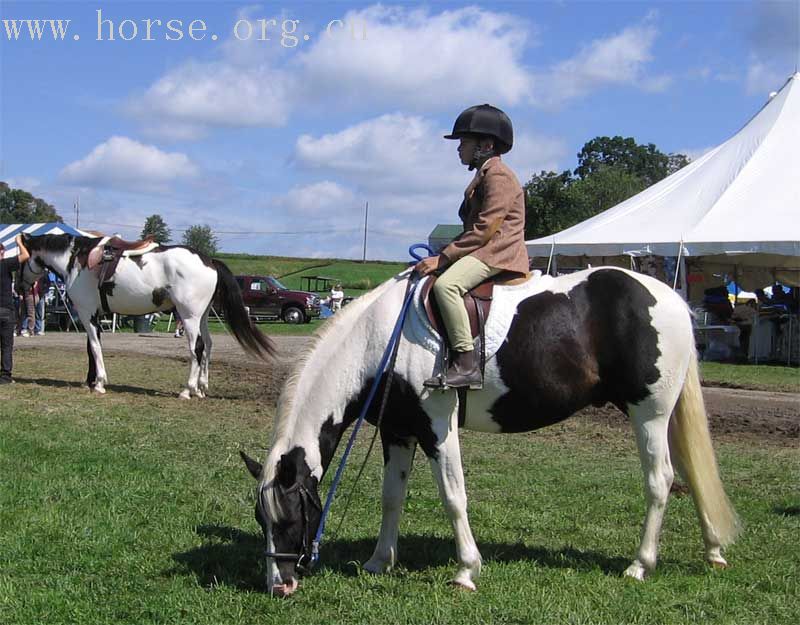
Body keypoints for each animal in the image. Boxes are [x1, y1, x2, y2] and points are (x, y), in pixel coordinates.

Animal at [18, 232, 276, 398]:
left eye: (22, 257)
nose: (21, 286)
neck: (77, 260)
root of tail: (209, 260)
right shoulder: (93, 314)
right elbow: (91, 348)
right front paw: (90, 381)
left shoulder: (86, 313)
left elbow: (95, 347)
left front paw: (99, 383)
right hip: (201, 316)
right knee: (209, 346)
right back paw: (201, 387)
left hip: (189, 317)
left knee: (197, 347)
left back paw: (188, 390)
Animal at [241, 266, 740, 596]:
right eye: (261, 521)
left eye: (287, 518)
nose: (278, 585)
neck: (380, 341)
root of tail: (671, 298)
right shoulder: (399, 431)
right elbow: (391, 498)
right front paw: (380, 561)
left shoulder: (438, 427)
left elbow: (453, 496)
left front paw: (466, 570)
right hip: (663, 415)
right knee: (691, 475)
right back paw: (714, 551)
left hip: (648, 414)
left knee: (660, 481)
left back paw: (641, 564)